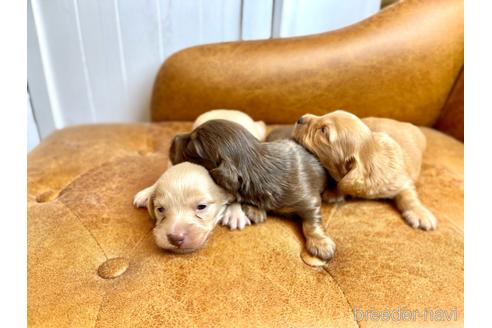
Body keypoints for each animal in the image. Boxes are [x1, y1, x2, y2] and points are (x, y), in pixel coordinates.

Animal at [294, 110, 436, 231]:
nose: (300, 118)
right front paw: (334, 191)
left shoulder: (401, 181)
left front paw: (420, 213)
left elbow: (408, 196)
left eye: (323, 130)